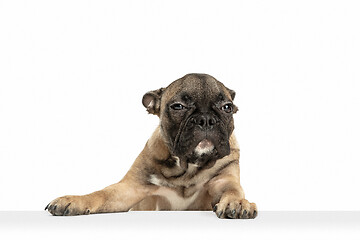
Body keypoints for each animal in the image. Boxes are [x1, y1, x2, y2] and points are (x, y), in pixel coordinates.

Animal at [45, 74, 258, 218]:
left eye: (227, 107)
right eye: (178, 106)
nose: (206, 119)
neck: (188, 166)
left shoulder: (224, 181)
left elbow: (232, 191)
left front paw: (239, 203)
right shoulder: (130, 189)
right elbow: (102, 194)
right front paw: (75, 200)